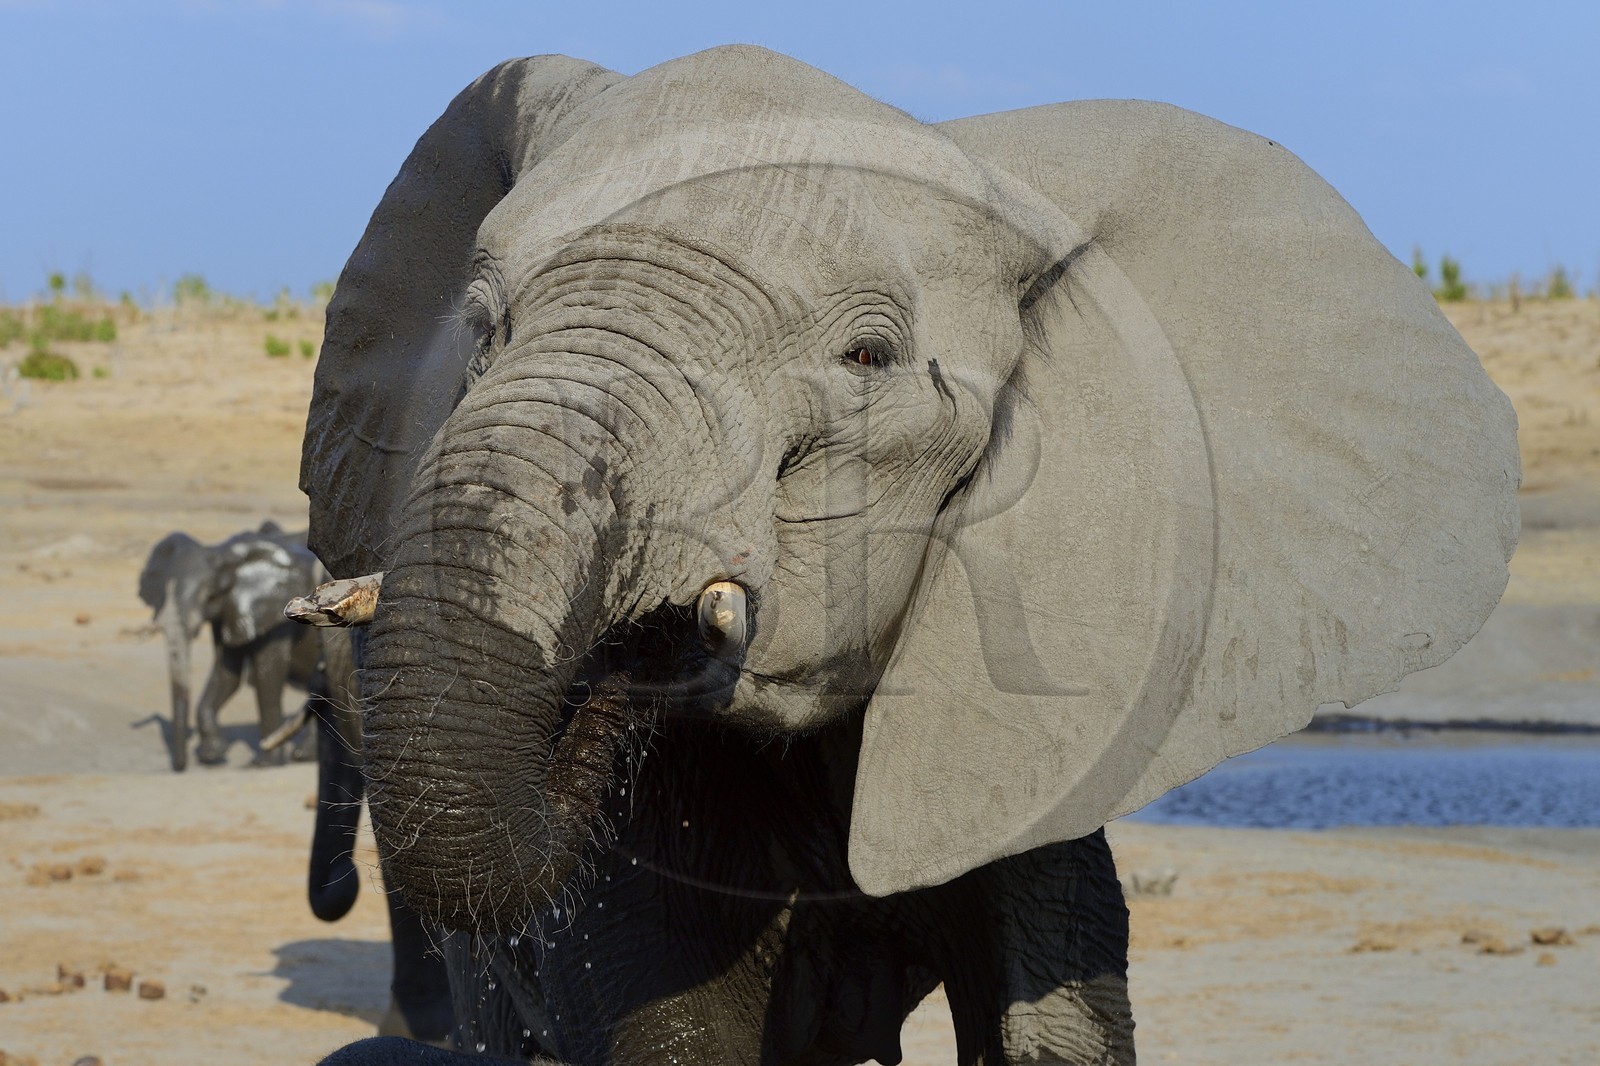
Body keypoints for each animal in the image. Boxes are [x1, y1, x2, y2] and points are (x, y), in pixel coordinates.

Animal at [138, 522, 325, 769]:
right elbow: (227, 673)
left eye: (208, 594)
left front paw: (263, 764)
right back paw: (304, 756)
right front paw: (212, 755)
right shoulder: (226, 613)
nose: (180, 768)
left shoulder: (277, 619)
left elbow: (268, 677)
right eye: (162, 592)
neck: (224, 555)